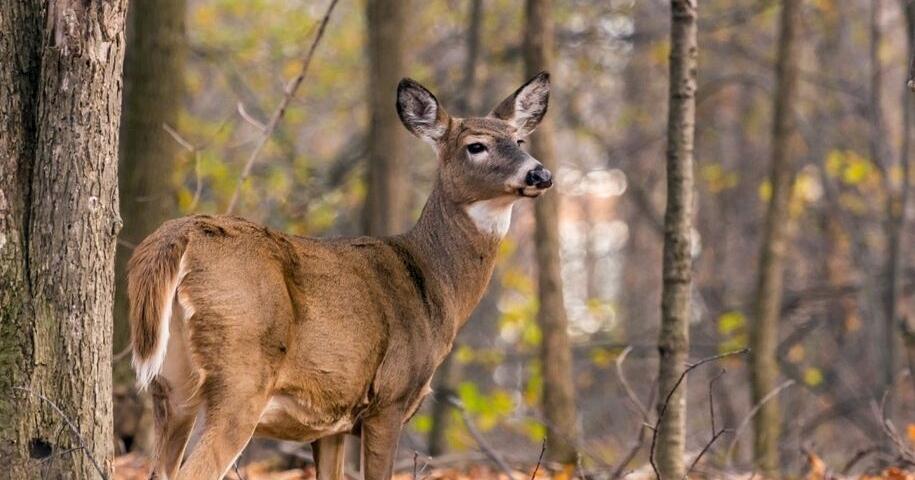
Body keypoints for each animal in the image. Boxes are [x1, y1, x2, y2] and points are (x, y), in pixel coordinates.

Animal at [128, 72, 554, 480]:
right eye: (476, 146)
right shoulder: (389, 398)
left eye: (519, 138)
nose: (540, 174)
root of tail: (177, 236)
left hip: (171, 386)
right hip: (239, 372)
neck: (434, 285)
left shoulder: (330, 421)